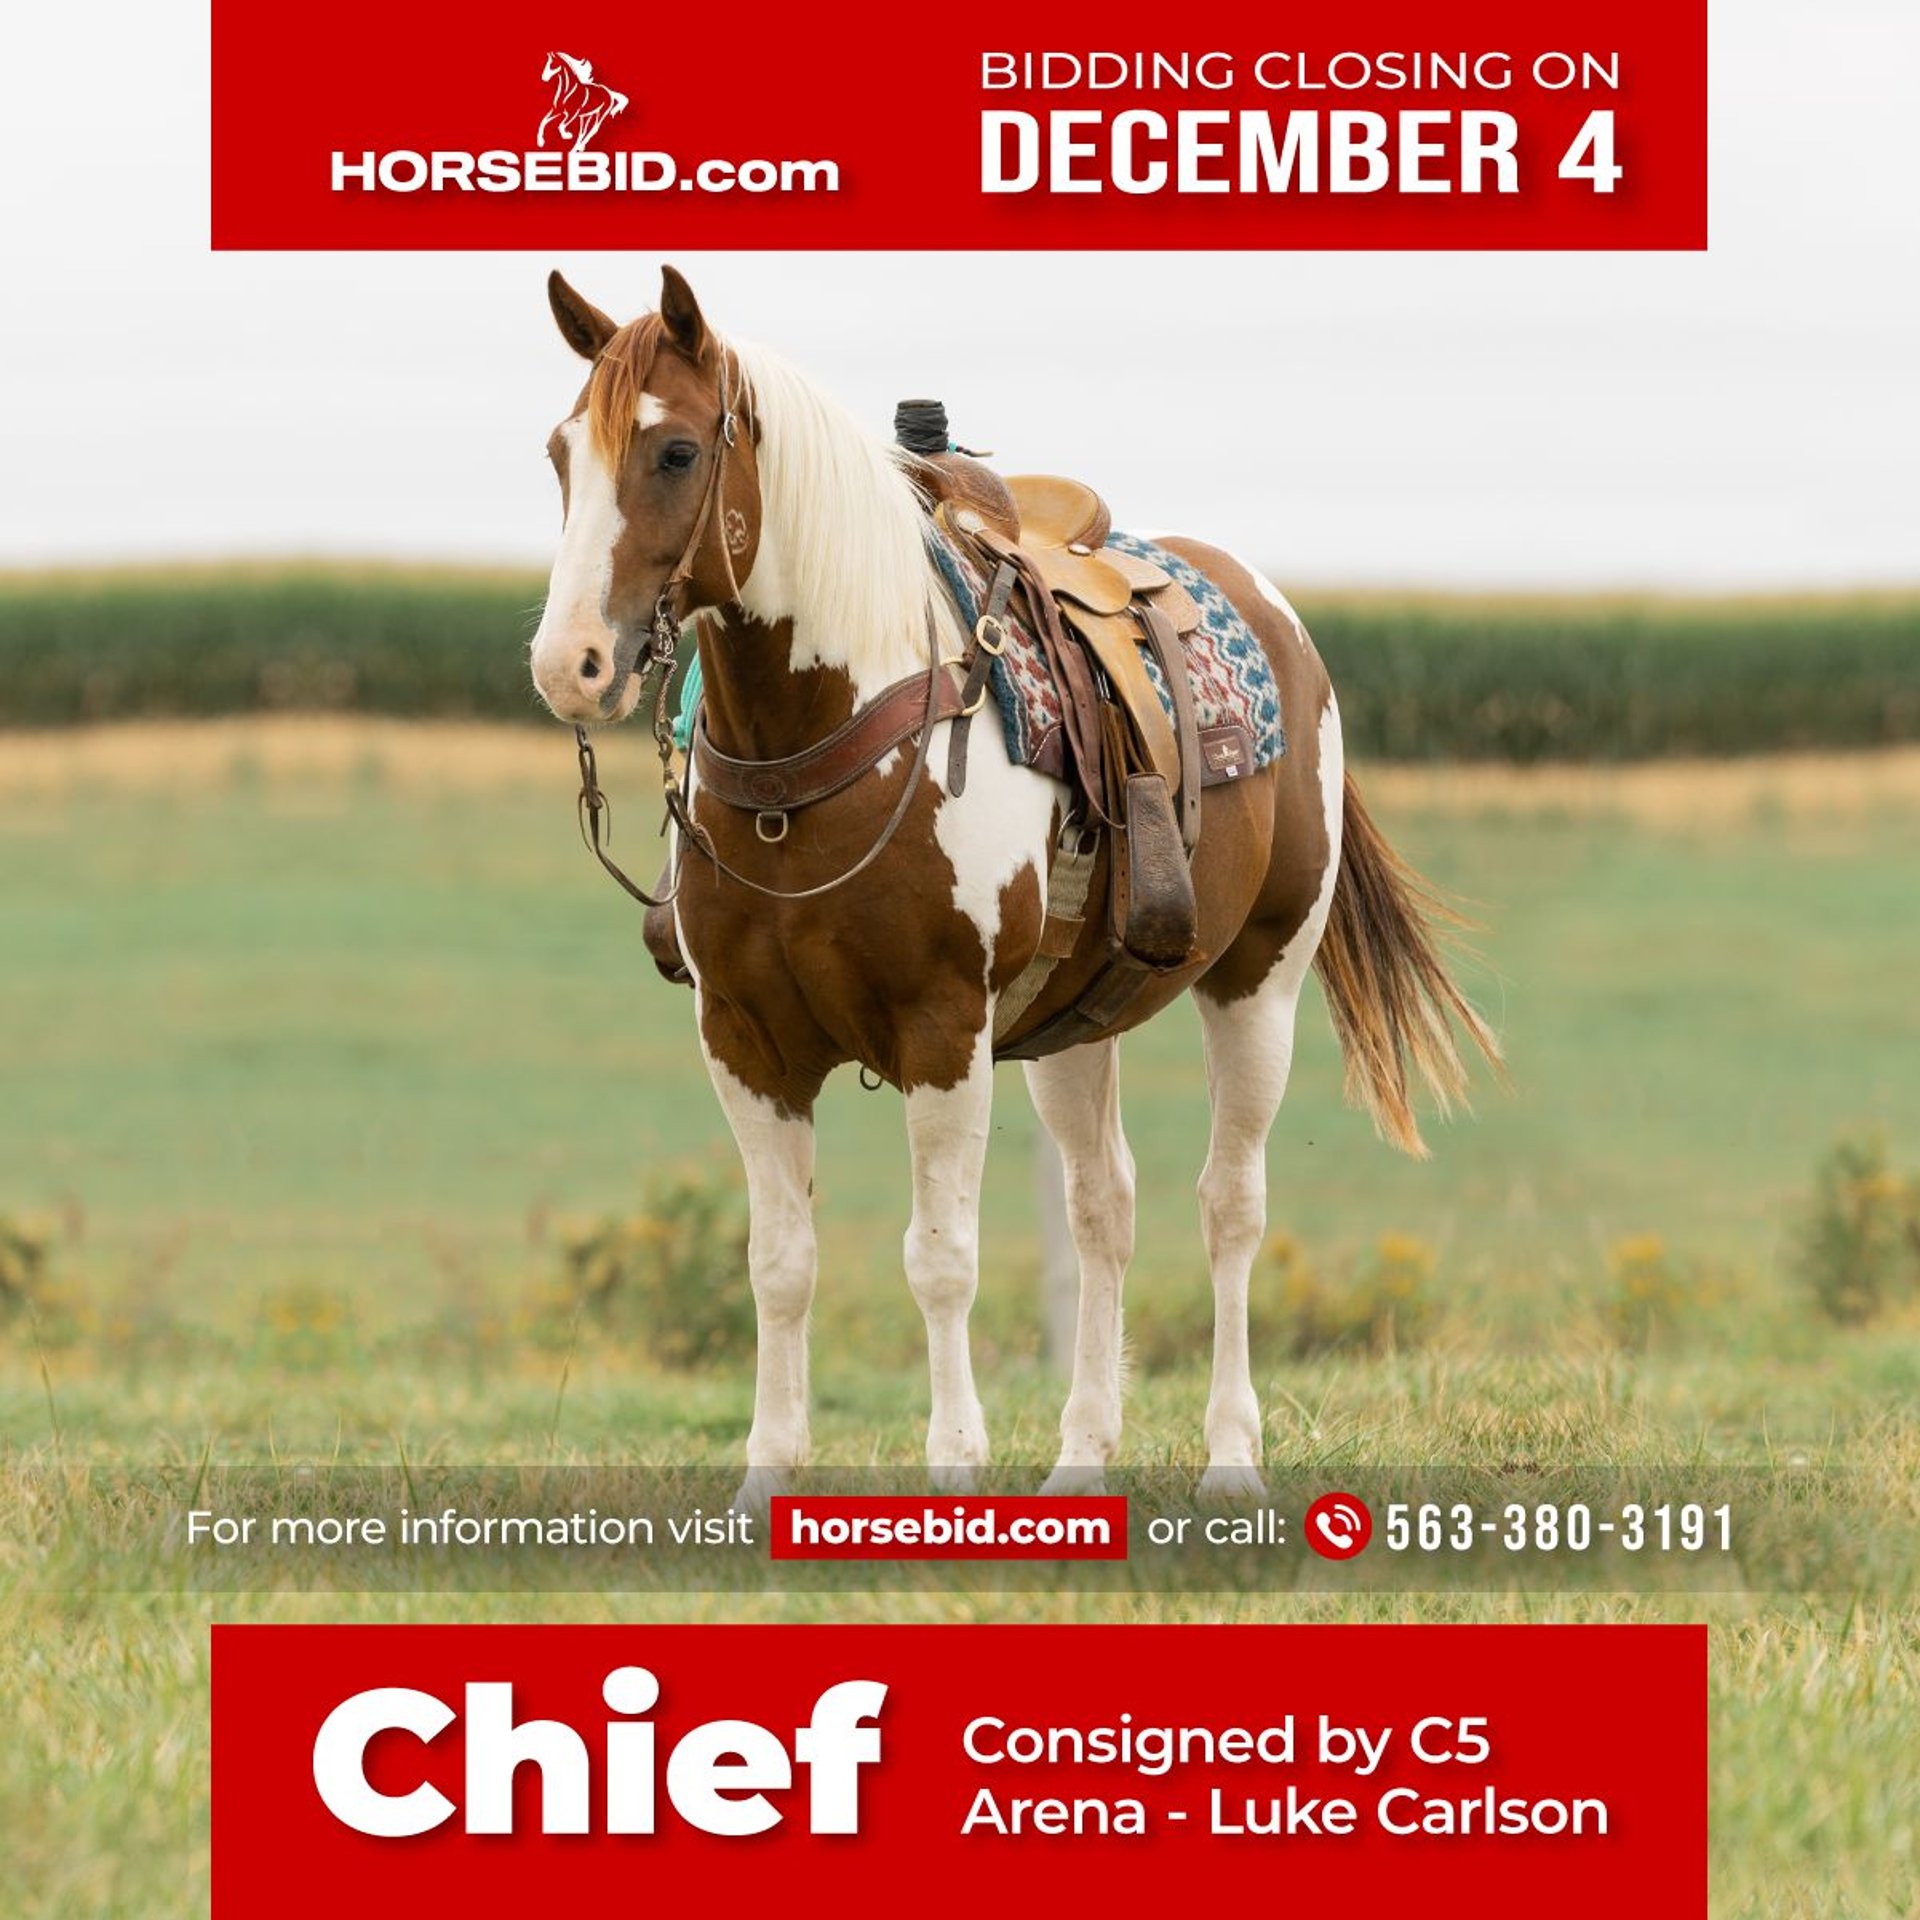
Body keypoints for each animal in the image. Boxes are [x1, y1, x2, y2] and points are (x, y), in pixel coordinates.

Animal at [528, 265, 1499, 1508]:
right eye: (562, 453)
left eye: (678, 452)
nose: (571, 666)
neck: (834, 738)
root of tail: (1280, 619)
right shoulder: (745, 1040)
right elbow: (780, 1262)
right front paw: (765, 1485)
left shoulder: (941, 1030)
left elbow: (940, 1261)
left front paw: (954, 1468)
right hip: (1071, 1028)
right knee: (1104, 1208)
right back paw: (1081, 1462)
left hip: (1259, 986)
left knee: (1230, 1206)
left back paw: (1233, 1461)